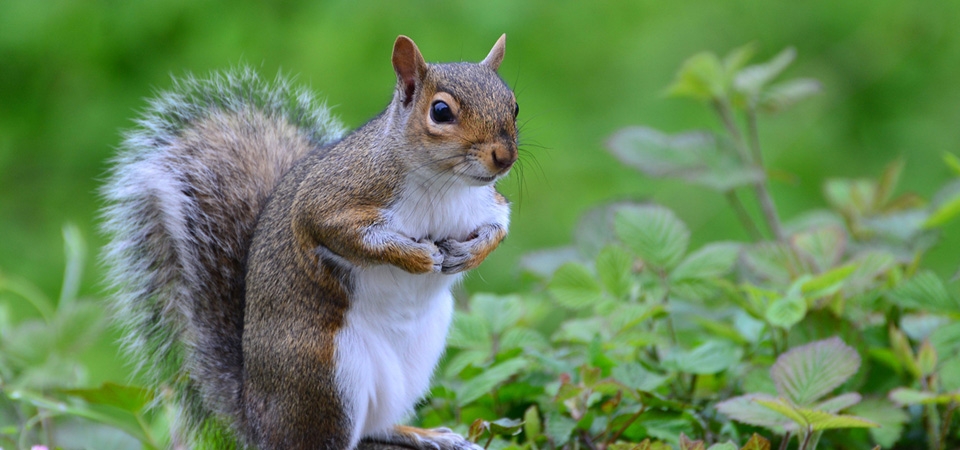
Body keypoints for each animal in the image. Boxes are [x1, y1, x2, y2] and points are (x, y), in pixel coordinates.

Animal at [102, 36, 516, 450]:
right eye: (441, 111)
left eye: (513, 104)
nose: (505, 157)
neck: (445, 184)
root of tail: (256, 419)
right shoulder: (329, 201)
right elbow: (345, 234)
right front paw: (417, 257)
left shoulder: (486, 204)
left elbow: (499, 227)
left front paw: (468, 254)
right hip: (326, 375)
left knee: (374, 426)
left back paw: (423, 434)